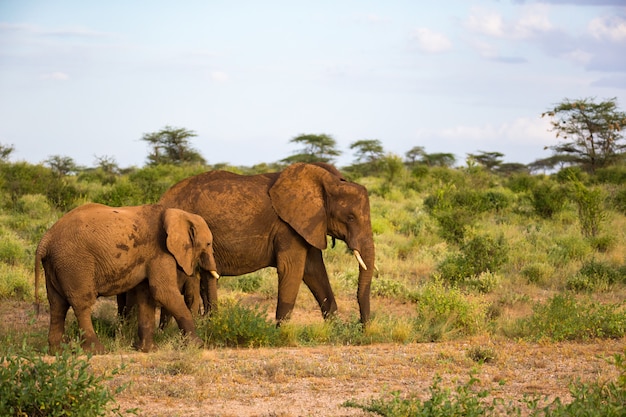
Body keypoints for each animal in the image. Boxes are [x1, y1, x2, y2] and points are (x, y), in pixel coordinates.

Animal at [34, 202, 219, 352]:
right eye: (208, 244)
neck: (177, 213)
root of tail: (45, 240)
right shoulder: (160, 251)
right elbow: (162, 292)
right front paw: (198, 345)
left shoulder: (149, 255)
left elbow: (146, 296)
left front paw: (147, 350)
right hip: (75, 263)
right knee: (81, 304)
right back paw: (97, 351)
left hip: (56, 265)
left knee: (57, 305)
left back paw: (57, 351)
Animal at [155, 161, 372, 324]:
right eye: (351, 218)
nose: (362, 325)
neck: (328, 182)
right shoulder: (287, 227)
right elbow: (292, 268)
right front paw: (281, 335)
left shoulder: (307, 225)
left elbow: (314, 270)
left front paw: (336, 331)